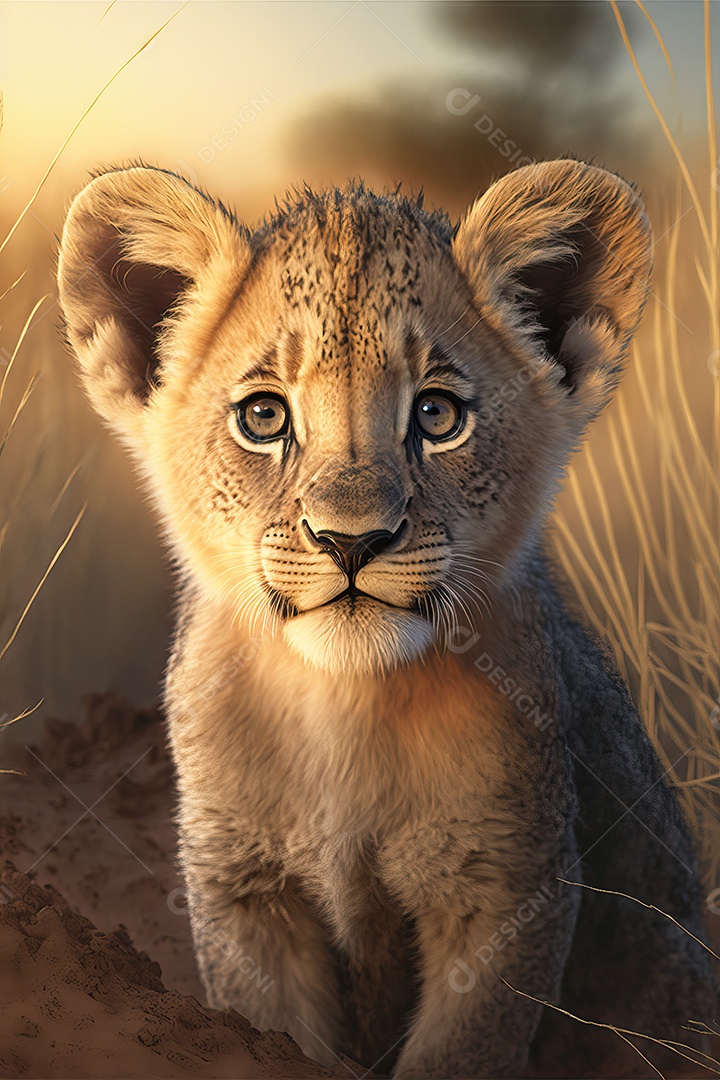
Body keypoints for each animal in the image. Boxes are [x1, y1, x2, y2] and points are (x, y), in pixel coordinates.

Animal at [58, 160, 715, 1078]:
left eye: (437, 415)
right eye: (264, 416)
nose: (352, 539)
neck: (347, 711)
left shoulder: (507, 890)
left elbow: (461, 1052)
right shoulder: (240, 886)